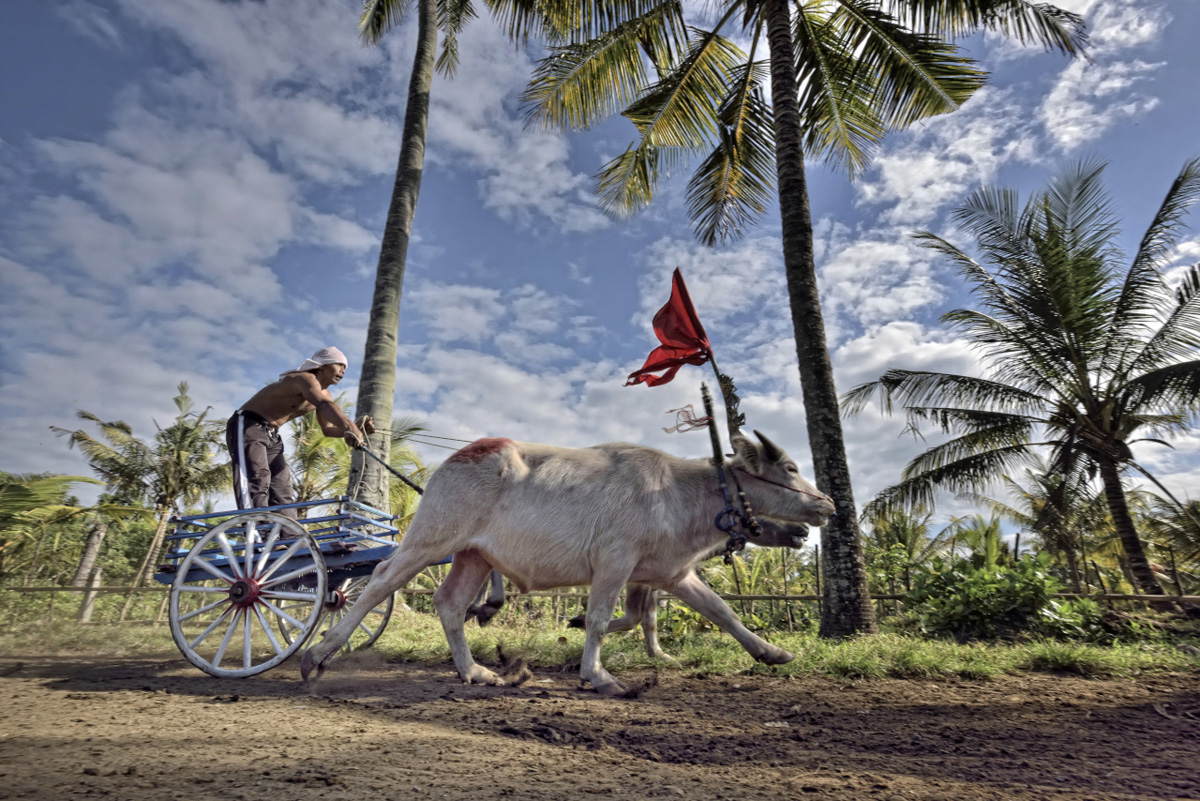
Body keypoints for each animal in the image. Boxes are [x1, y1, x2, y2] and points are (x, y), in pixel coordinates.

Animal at [302, 431, 835, 695]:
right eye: (790, 468)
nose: (826, 505)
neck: (683, 492)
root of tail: (465, 454)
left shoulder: (672, 574)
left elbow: (721, 612)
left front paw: (772, 653)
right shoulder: (616, 561)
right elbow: (600, 619)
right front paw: (597, 675)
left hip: (474, 556)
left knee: (450, 604)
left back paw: (475, 672)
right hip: (429, 540)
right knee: (378, 583)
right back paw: (317, 655)